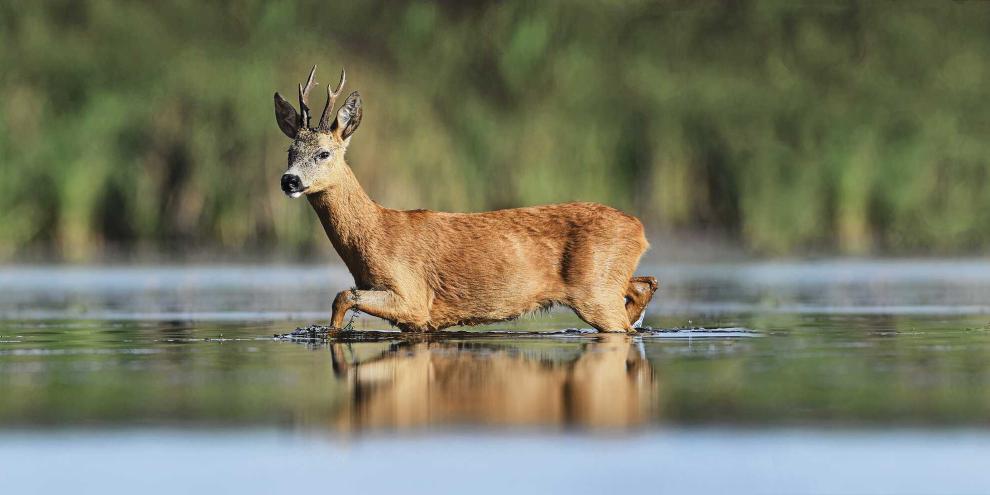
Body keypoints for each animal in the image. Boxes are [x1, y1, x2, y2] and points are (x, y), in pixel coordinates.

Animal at [273, 66, 658, 333]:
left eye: (323, 153)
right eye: (290, 151)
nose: (289, 180)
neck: (375, 233)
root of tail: (639, 229)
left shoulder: (412, 296)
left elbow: (342, 296)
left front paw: (331, 334)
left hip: (596, 290)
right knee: (646, 284)